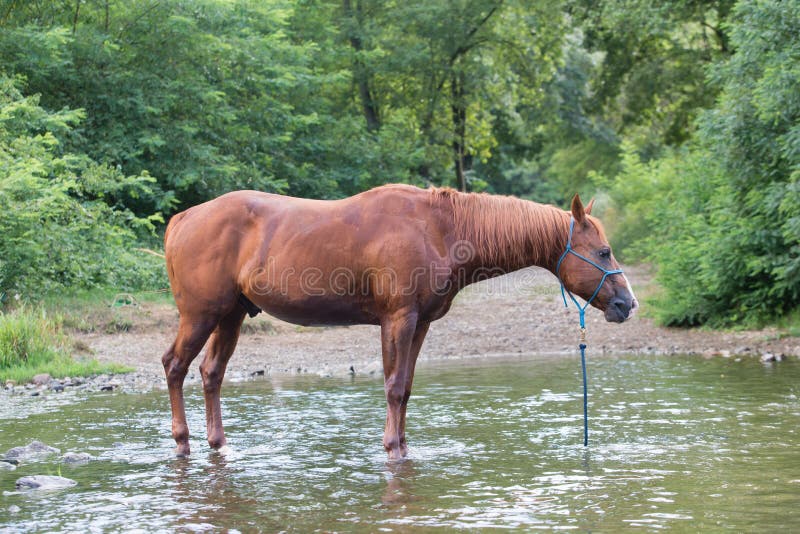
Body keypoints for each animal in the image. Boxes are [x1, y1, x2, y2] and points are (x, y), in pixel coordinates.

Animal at [161, 184, 638, 459]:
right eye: (603, 251)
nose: (627, 304)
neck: (440, 229)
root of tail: (183, 218)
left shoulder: (421, 324)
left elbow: (405, 388)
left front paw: (405, 447)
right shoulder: (398, 320)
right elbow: (392, 387)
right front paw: (391, 448)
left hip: (230, 316)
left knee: (211, 373)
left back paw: (218, 444)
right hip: (201, 315)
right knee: (175, 367)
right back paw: (183, 441)